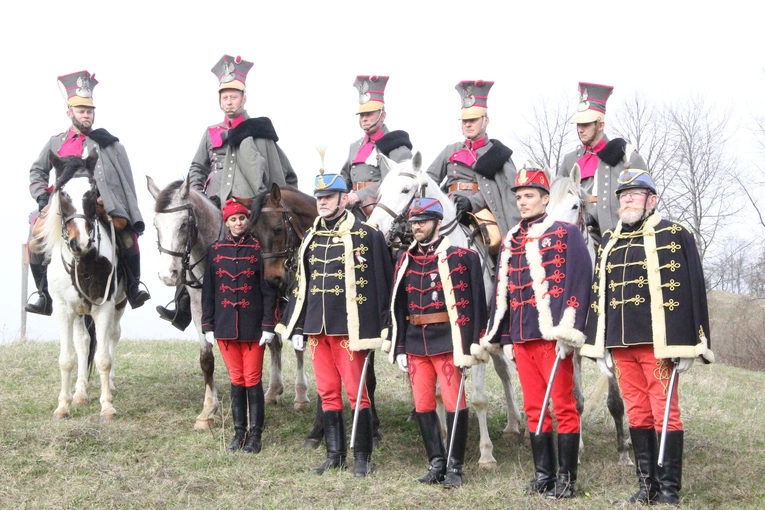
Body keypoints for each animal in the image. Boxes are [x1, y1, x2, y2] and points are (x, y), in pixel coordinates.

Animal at [34, 149, 125, 420]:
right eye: (63, 192)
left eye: (92, 191)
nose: (80, 242)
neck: (82, 261)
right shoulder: (64, 310)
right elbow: (67, 358)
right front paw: (63, 406)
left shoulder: (103, 305)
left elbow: (104, 357)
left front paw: (107, 407)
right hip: (78, 311)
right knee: (83, 343)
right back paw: (81, 392)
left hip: (118, 304)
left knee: (112, 336)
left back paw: (110, 386)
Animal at [368, 150, 524, 466]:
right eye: (380, 191)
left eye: (406, 190)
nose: (374, 228)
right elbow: (439, 394)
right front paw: (441, 438)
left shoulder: (473, 338)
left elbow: (477, 397)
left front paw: (486, 454)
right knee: (504, 371)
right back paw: (513, 424)